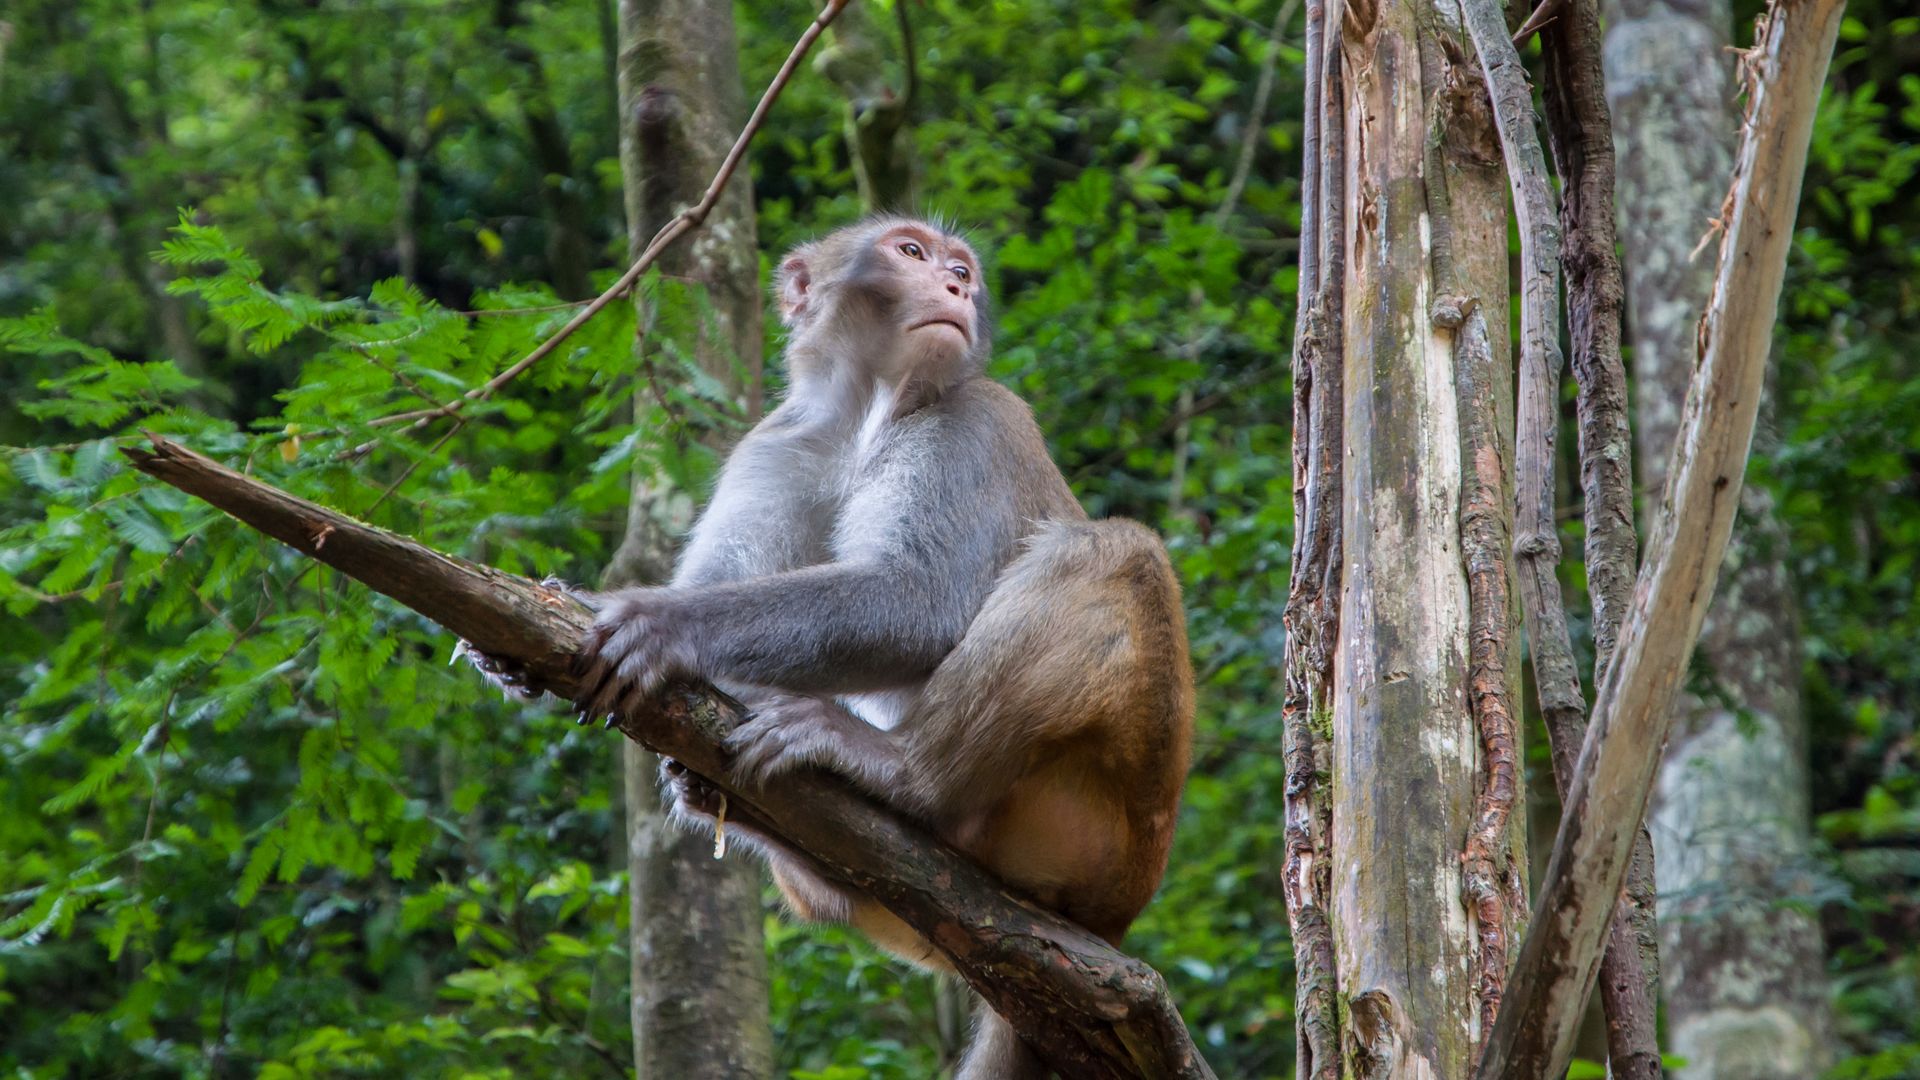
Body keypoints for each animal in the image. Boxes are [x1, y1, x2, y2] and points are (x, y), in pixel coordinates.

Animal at [560, 214, 1190, 1068]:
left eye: (961, 270)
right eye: (912, 252)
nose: (954, 285)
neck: (865, 413)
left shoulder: (974, 420)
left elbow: (923, 603)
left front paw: (661, 624)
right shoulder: (777, 444)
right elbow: (727, 575)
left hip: (1116, 824)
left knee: (1118, 551)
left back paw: (908, 776)